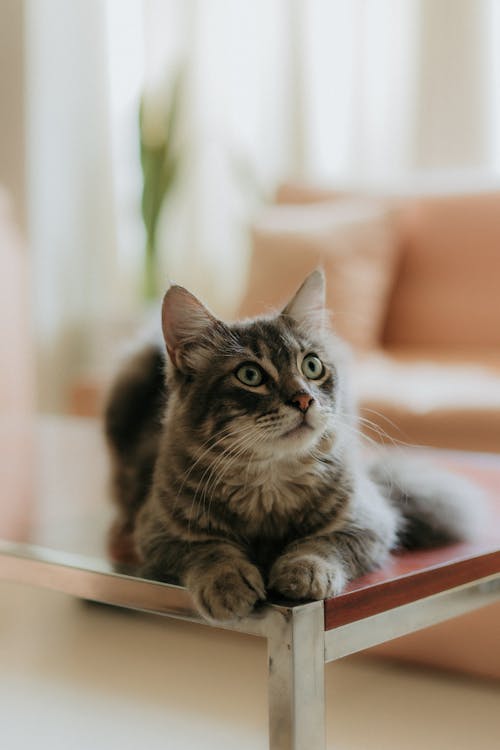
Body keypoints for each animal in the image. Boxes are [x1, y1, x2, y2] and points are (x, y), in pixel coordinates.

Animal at [105, 270, 484, 624]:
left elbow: (323, 543)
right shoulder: (158, 529)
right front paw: (226, 583)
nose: (304, 399)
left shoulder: (369, 519)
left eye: (311, 366)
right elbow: (209, 550)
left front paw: (306, 570)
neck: (269, 484)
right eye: (250, 375)